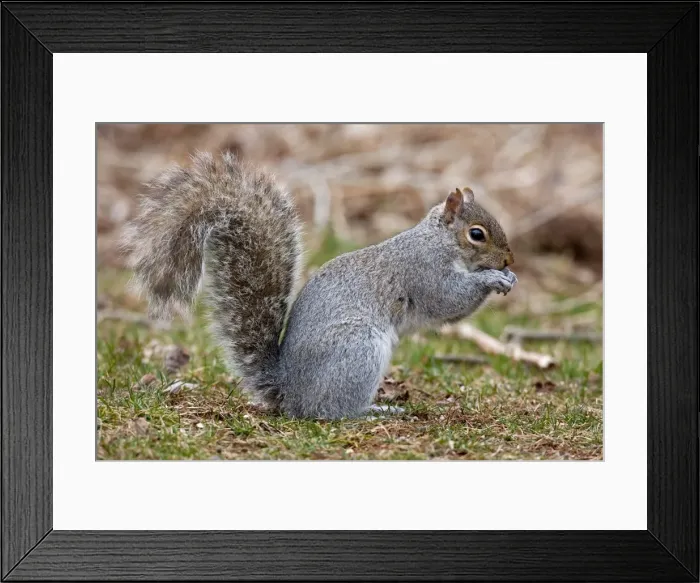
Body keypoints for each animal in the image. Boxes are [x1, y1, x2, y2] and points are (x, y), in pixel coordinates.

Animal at [123, 152, 517, 420]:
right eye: (477, 234)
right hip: (357, 349)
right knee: (329, 411)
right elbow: (449, 300)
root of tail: (291, 392)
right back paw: (372, 412)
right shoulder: (425, 272)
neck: (439, 241)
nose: (509, 261)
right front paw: (491, 279)